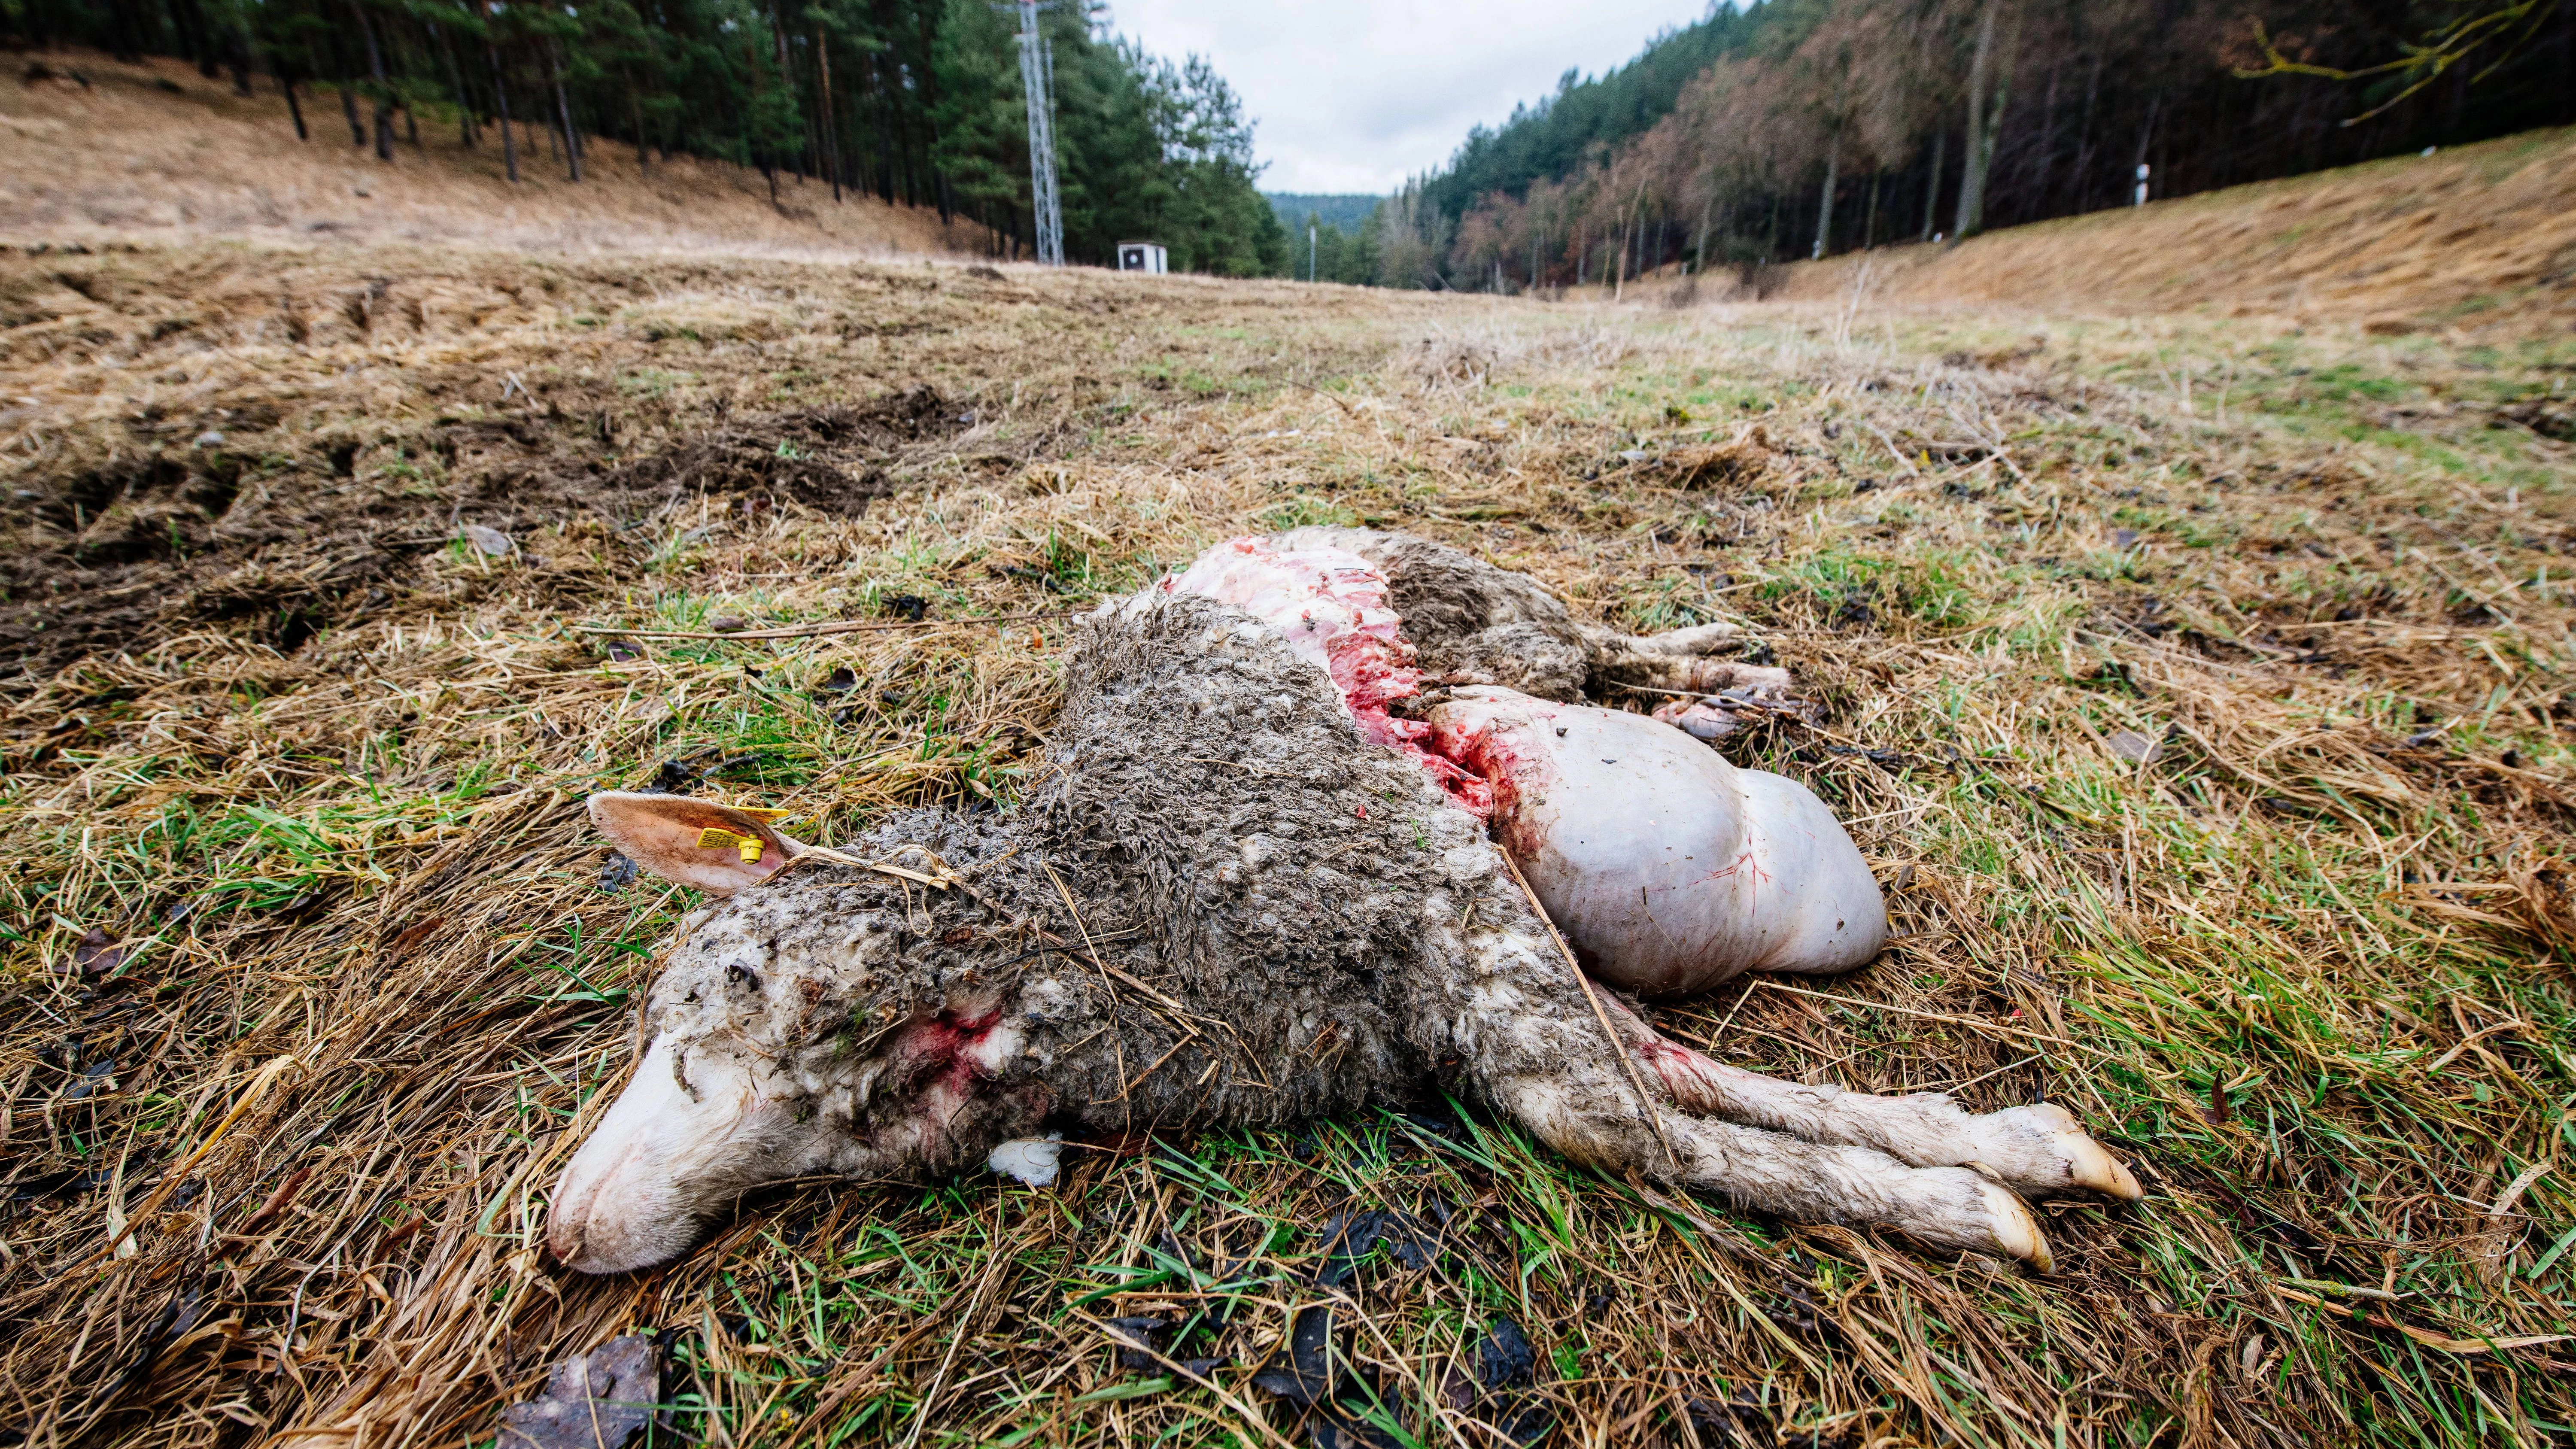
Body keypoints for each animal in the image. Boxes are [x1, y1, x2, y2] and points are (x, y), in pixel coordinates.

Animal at [548, 534, 2137, 1277]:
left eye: (705, 1001)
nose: (571, 1233)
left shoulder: (1442, 889)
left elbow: (1616, 1118)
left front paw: (1970, 1199)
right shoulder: (1451, 969)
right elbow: (1657, 1088)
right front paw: (2000, 1156)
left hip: (1495, 610)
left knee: (1602, 641)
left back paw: (1731, 653)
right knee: (1612, 677)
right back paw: (1726, 690)